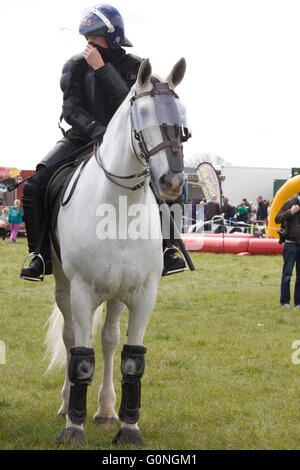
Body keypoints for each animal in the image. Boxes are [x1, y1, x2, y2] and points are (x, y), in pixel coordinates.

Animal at [44, 57, 189, 446]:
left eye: (181, 117)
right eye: (142, 114)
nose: (171, 181)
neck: (120, 211)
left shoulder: (142, 294)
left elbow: (132, 358)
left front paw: (129, 428)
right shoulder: (81, 290)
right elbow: (80, 357)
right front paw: (73, 429)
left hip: (116, 294)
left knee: (109, 341)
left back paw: (107, 410)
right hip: (65, 285)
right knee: (71, 337)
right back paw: (67, 405)